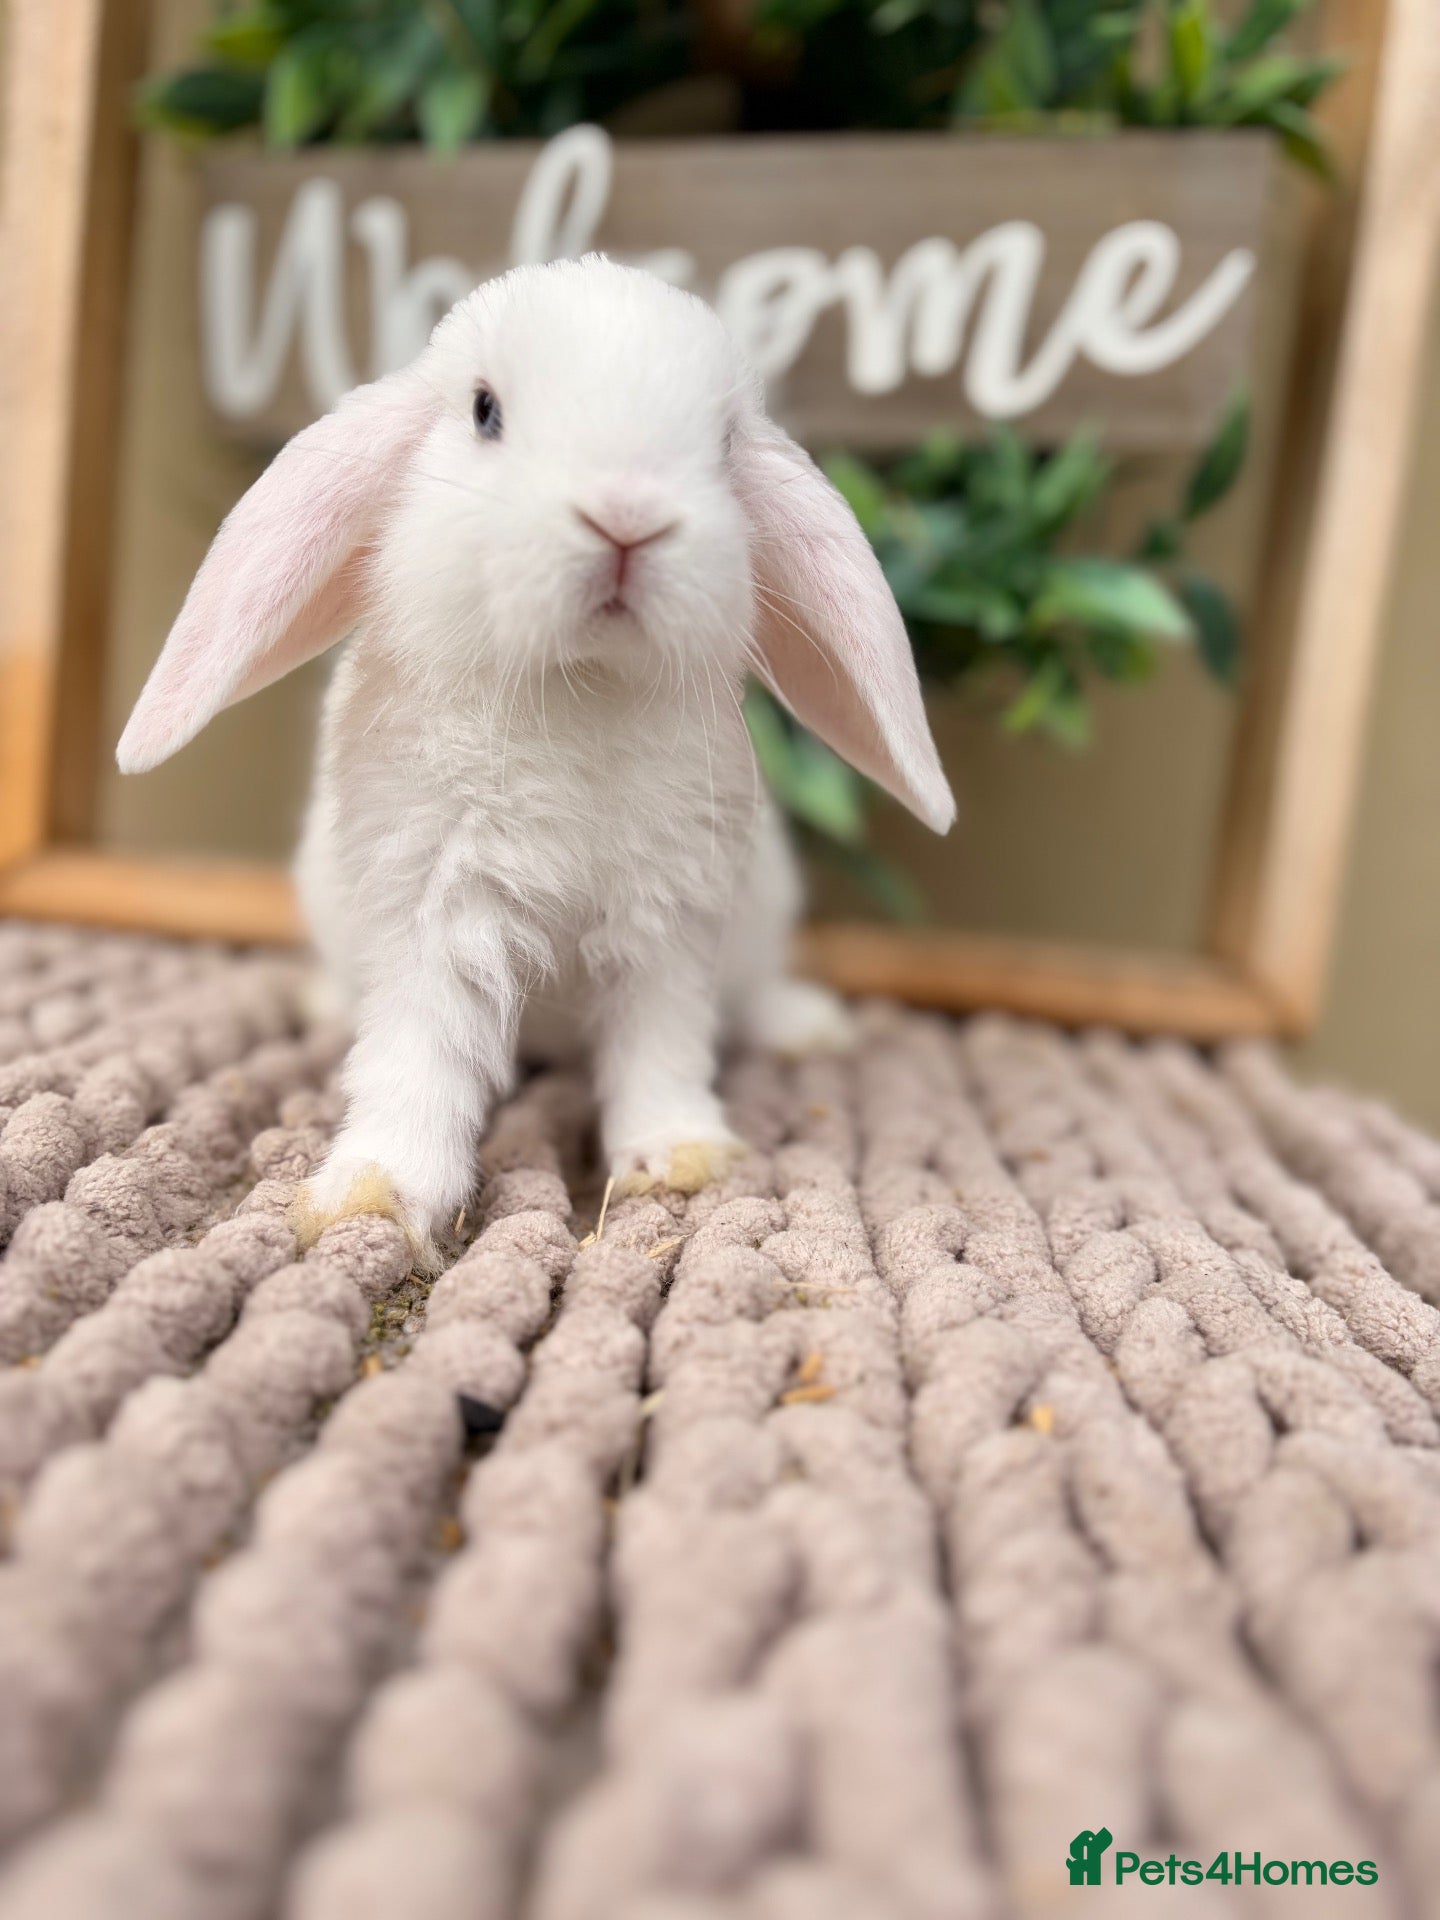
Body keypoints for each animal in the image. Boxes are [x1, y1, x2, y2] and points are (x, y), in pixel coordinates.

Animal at [118, 255, 955, 1259]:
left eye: (722, 443)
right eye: (485, 411)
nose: (628, 516)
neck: (574, 687)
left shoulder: (669, 920)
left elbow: (660, 1044)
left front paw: (679, 1159)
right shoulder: (435, 907)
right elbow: (423, 1055)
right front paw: (373, 1197)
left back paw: (808, 1027)